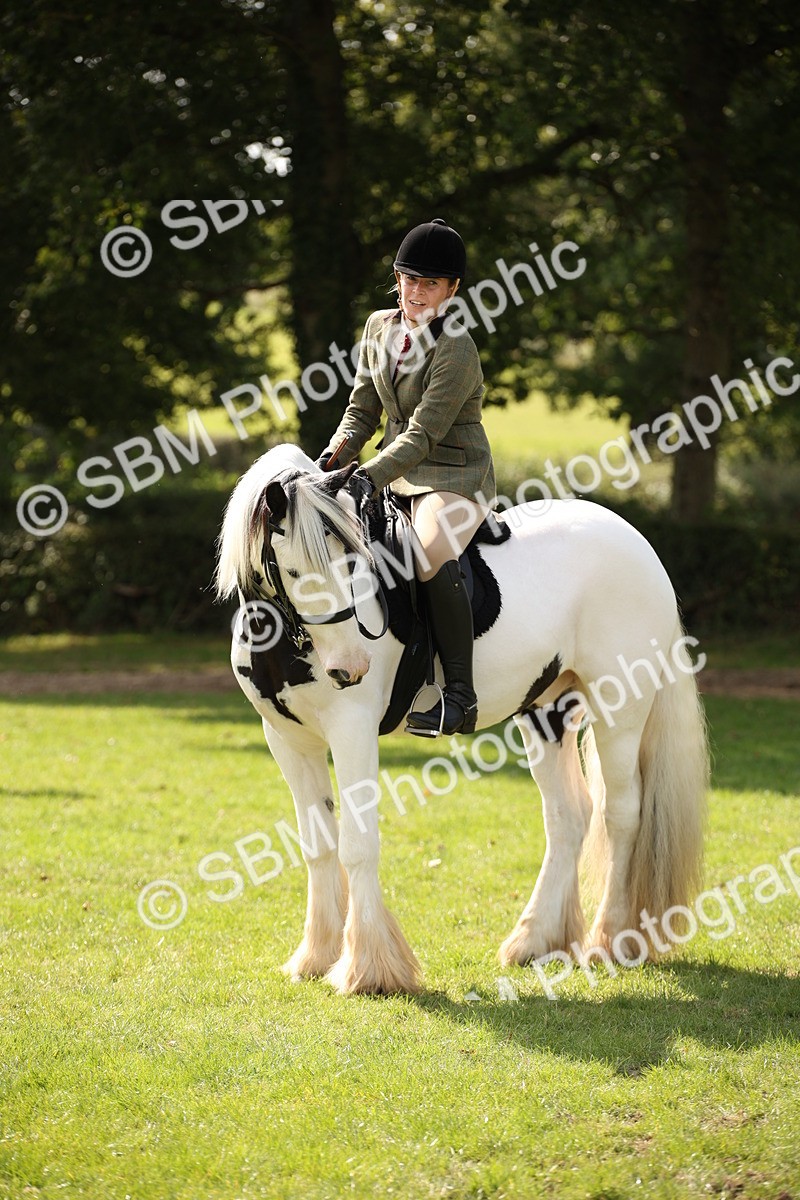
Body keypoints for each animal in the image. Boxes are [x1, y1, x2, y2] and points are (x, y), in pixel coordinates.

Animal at [215, 444, 708, 995]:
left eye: (353, 562)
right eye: (296, 571)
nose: (351, 667)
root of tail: (638, 544)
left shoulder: (352, 730)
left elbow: (357, 845)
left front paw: (370, 970)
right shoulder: (287, 740)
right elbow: (318, 845)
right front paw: (316, 957)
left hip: (618, 709)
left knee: (620, 814)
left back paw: (610, 942)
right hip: (547, 712)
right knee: (569, 816)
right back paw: (535, 941)